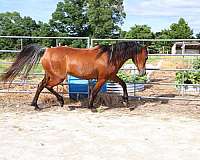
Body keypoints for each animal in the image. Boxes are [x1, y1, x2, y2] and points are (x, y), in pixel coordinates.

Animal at [1, 41, 148, 111]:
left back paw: (36, 105)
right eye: (146, 57)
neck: (109, 57)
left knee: (40, 85)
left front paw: (126, 101)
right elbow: (95, 91)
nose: (142, 73)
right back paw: (61, 101)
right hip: (57, 77)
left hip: (50, 75)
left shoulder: (111, 76)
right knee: (47, 86)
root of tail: (47, 50)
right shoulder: (102, 78)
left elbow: (123, 84)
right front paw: (91, 106)